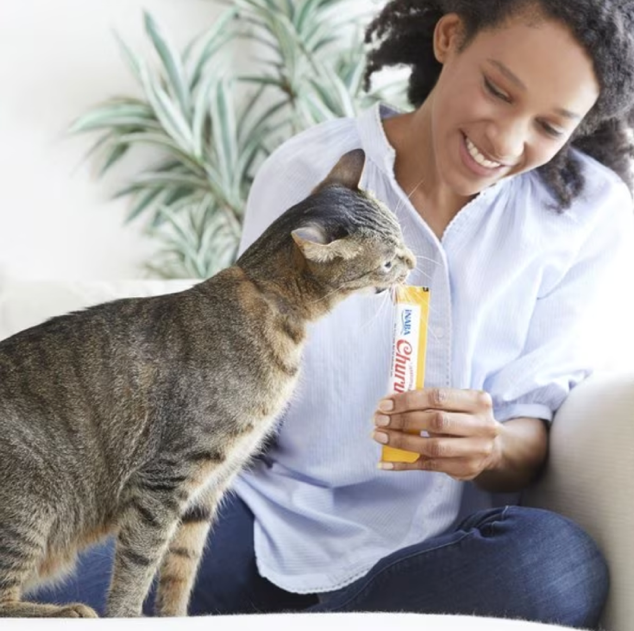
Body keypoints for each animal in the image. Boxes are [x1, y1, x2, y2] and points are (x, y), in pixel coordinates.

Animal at [0, 148, 414, 616]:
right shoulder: (164, 480)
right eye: (386, 261)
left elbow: (181, 569)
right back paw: (68, 610)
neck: (268, 301)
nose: (412, 260)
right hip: (32, 505)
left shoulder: (209, 486)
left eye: (402, 236)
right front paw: (123, 615)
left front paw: (173, 616)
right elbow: (138, 566)